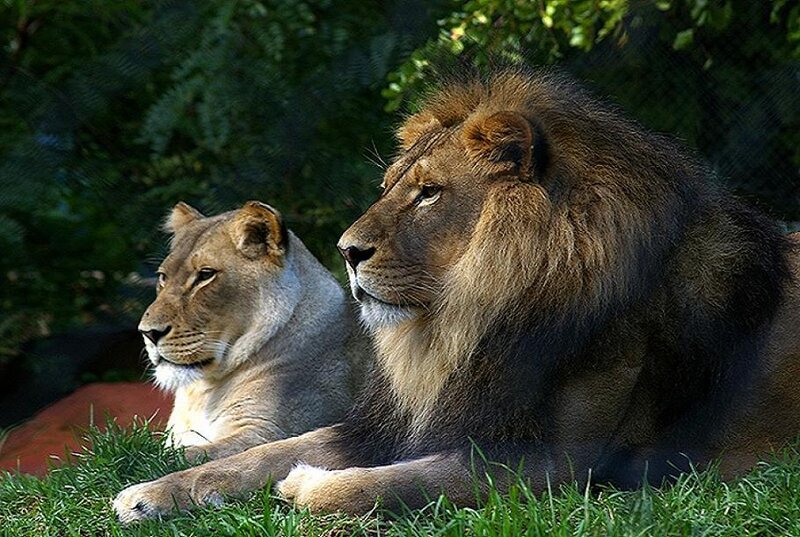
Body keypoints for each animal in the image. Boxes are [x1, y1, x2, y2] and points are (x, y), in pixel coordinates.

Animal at [137, 201, 370, 461]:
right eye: (162, 277)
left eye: (205, 275)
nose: (148, 333)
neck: (203, 392)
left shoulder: (269, 432)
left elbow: (172, 457)